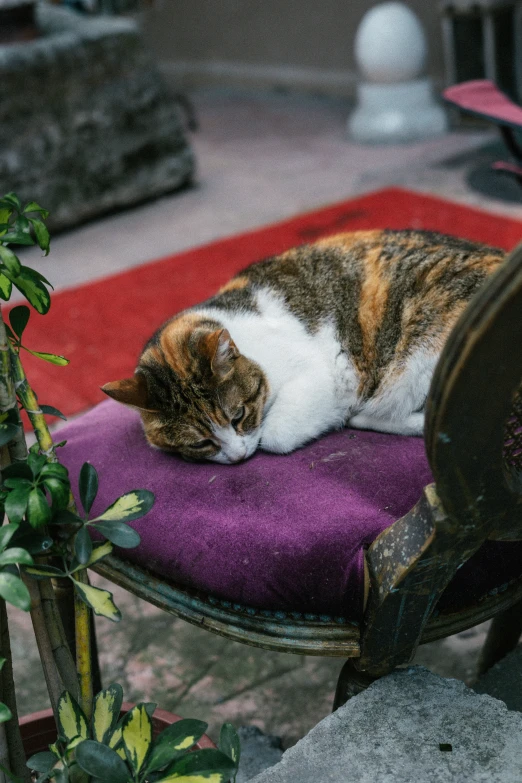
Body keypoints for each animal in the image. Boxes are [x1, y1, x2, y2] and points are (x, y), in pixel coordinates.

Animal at [99, 230, 502, 462]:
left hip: (419, 359)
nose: (238, 457)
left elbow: (276, 435)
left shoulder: (329, 375)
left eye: (238, 415)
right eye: (199, 445)